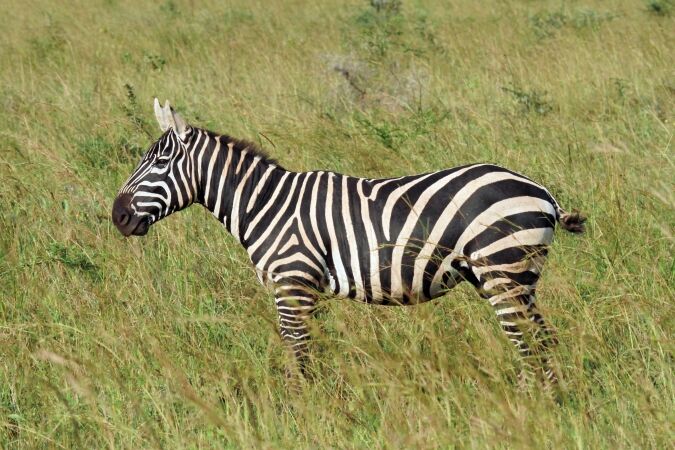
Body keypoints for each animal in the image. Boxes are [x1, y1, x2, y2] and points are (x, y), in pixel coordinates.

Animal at [112, 99, 586, 384]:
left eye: (158, 162)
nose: (117, 216)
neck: (266, 204)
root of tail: (540, 190)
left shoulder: (292, 282)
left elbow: (297, 349)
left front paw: (299, 410)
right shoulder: (307, 289)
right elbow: (310, 348)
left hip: (503, 271)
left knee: (530, 341)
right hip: (512, 277)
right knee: (540, 339)